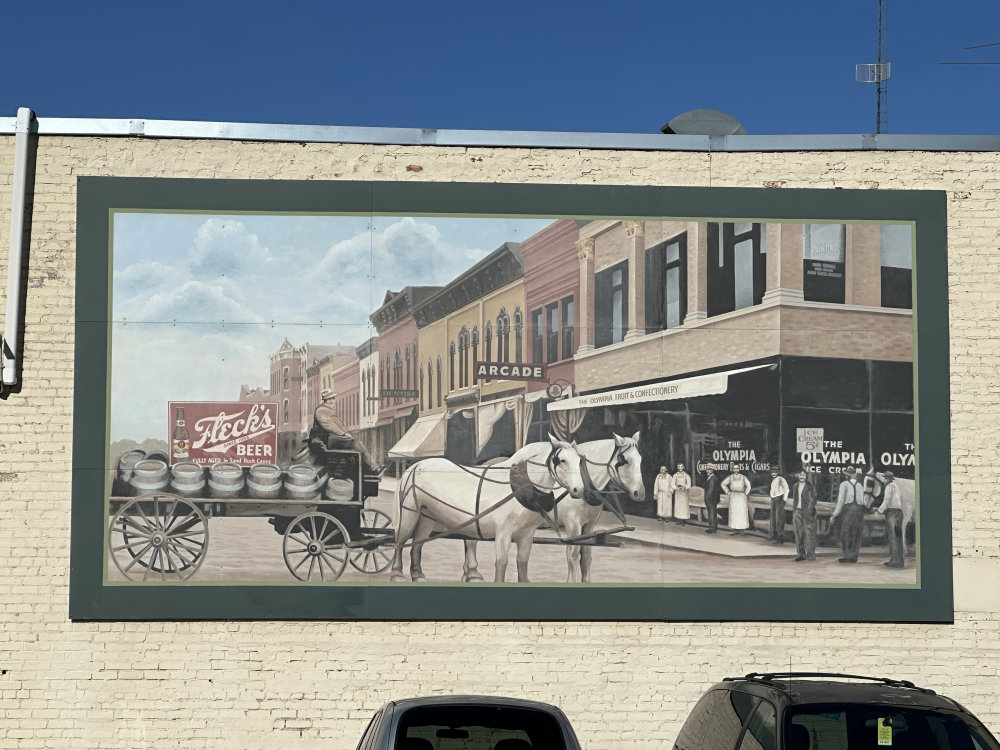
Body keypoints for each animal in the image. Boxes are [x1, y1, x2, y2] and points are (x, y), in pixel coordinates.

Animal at [388, 434, 584, 588]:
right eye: (561, 460)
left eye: (580, 460)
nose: (579, 490)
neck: (518, 487)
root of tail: (413, 467)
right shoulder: (503, 531)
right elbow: (501, 562)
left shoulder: (527, 533)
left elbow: (522, 562)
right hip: (409, 514)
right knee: (400, 541)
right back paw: (397, 575)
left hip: (427, 517)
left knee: (417, 544)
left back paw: (418, 576)